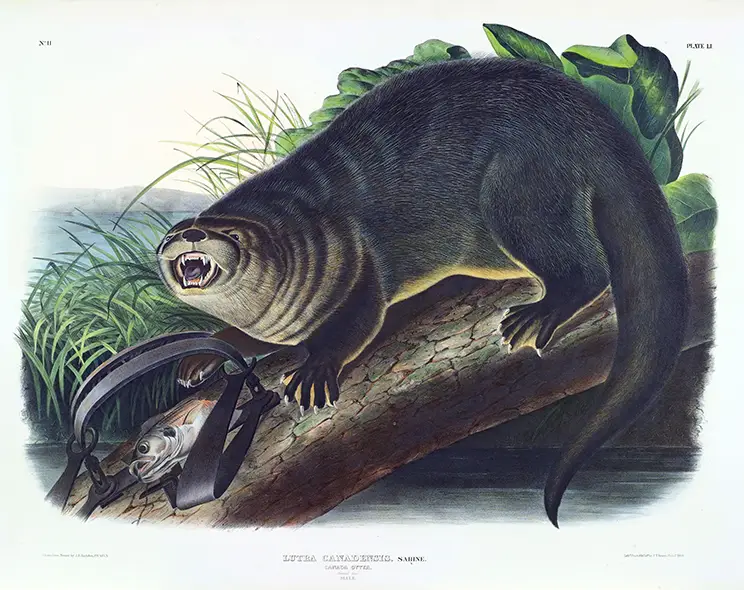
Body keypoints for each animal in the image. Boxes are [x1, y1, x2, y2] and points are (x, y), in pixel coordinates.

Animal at [157, 58, 689, 526]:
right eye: (176, 231)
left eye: (222, 233)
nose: (186, 237)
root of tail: (598, 123)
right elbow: (246, 338)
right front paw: (200, 358)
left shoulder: (351, 255)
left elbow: (359, 317)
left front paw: (315, 368)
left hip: (522, 186)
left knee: (587, 267)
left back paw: (542, 313)